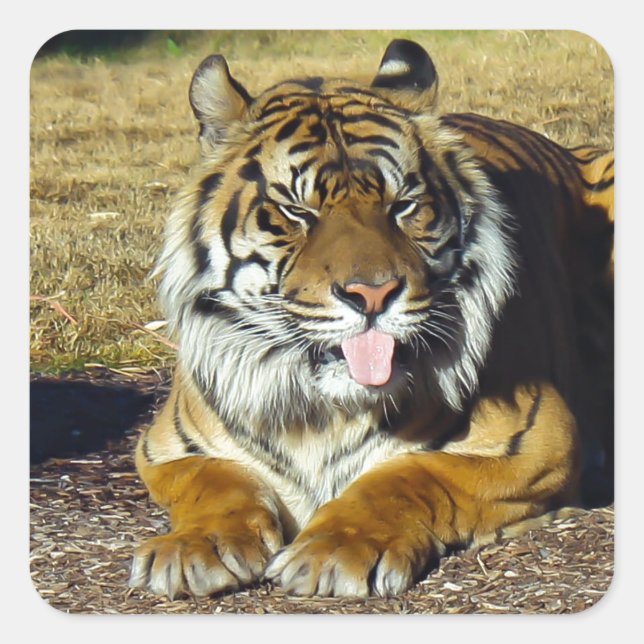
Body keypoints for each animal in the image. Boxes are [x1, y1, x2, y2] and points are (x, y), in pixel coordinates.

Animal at [129, 39, 614, 599]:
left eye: (402, 206)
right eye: (297, 212)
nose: (373, 294)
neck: (320, 410)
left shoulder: (542, 441)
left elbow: (411, 472)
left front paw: (334, 549)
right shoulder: (165, 450)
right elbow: (216, 481)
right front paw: (191, 548)